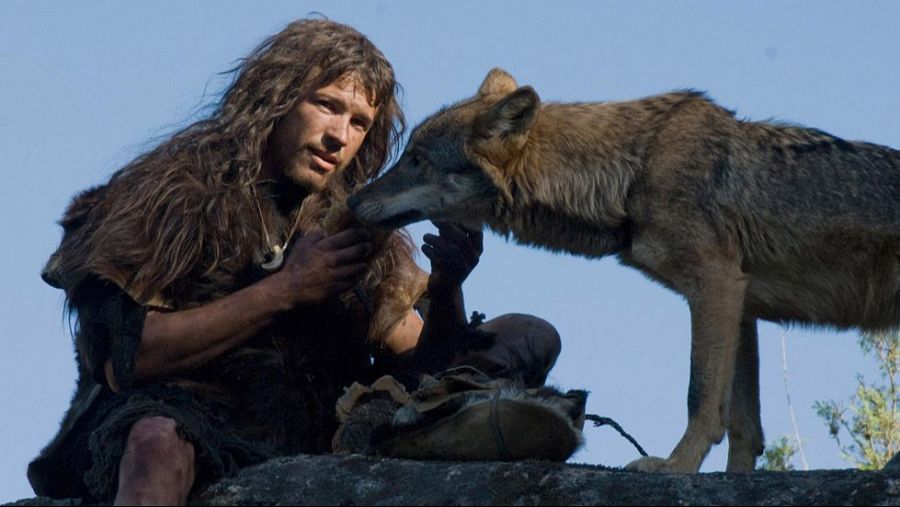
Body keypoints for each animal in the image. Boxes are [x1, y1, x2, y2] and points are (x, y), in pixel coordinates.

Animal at [347, 68, 900, 473]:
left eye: (417, 160)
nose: (351, 200)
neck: (632, 172)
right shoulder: (742, 303)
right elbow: (744, 425)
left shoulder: (716, 287)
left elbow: (701, 399)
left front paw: (675, 469)